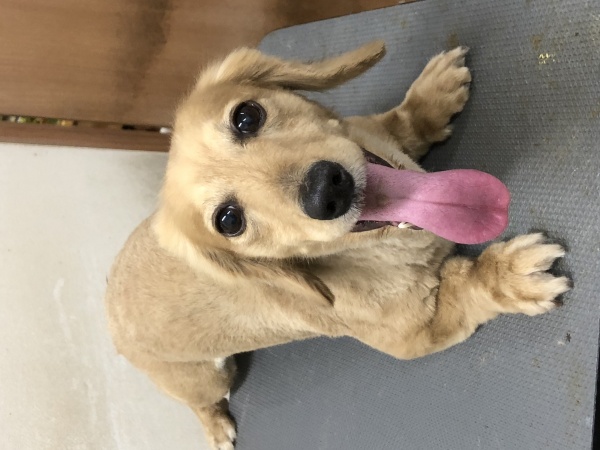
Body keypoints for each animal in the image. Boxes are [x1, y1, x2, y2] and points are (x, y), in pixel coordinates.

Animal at [105, 41, 571, 450]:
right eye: (229, 221)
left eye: (246, 116)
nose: (326, 189)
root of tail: (108, 303)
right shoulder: (417, 338)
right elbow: (467, 287)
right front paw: (509, 276)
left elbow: (401, 123)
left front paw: (430, 96)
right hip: (206, 379)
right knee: (202, 402)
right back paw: (215, 427)